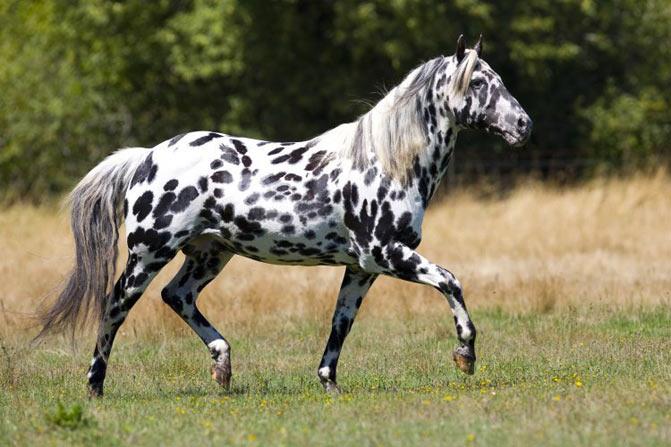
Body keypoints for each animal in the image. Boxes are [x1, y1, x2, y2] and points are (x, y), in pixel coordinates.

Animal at [38, 35, 531, 396]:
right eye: (478, 83)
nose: (523, 125)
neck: (387, 162)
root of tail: (147, 157)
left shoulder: (362, 267)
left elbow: (341, 323)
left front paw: (329, 383)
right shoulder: (384, 254)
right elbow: (450, 281)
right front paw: (465, 355)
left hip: (210, 253)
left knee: (177, 296)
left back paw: (222, 366)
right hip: (149, 253)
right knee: (114, 306)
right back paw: (95, 387)